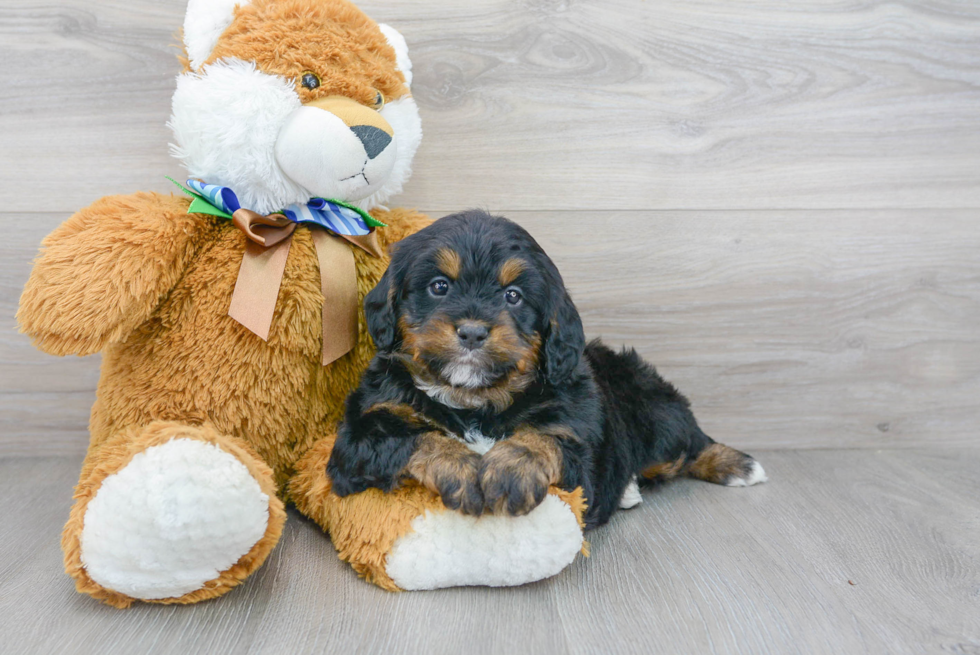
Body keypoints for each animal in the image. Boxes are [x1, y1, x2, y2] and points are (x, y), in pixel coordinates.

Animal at [330, 213, 764, 532]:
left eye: (513, 296)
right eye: (439, 286)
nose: (472, 332)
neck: (475, 400)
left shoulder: (580, 447)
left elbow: (544, 438)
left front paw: (509, 470)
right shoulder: (359, 437)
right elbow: (416, 438)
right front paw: (464, 469)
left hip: (656, 417)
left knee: (687, 445)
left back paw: (736, 465)